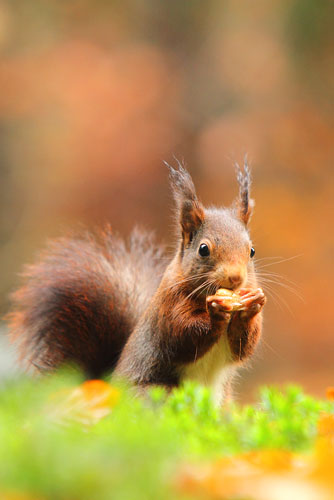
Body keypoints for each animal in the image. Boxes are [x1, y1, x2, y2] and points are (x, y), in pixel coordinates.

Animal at [7, 162, 266, 404]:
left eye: (252, 251)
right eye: (203, 249)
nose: (236, 278)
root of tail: (110, 386)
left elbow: (243, 347)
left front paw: (252, 306)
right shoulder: (168, 309)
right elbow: (182, 338)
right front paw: (215, 312)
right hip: (156, 393)